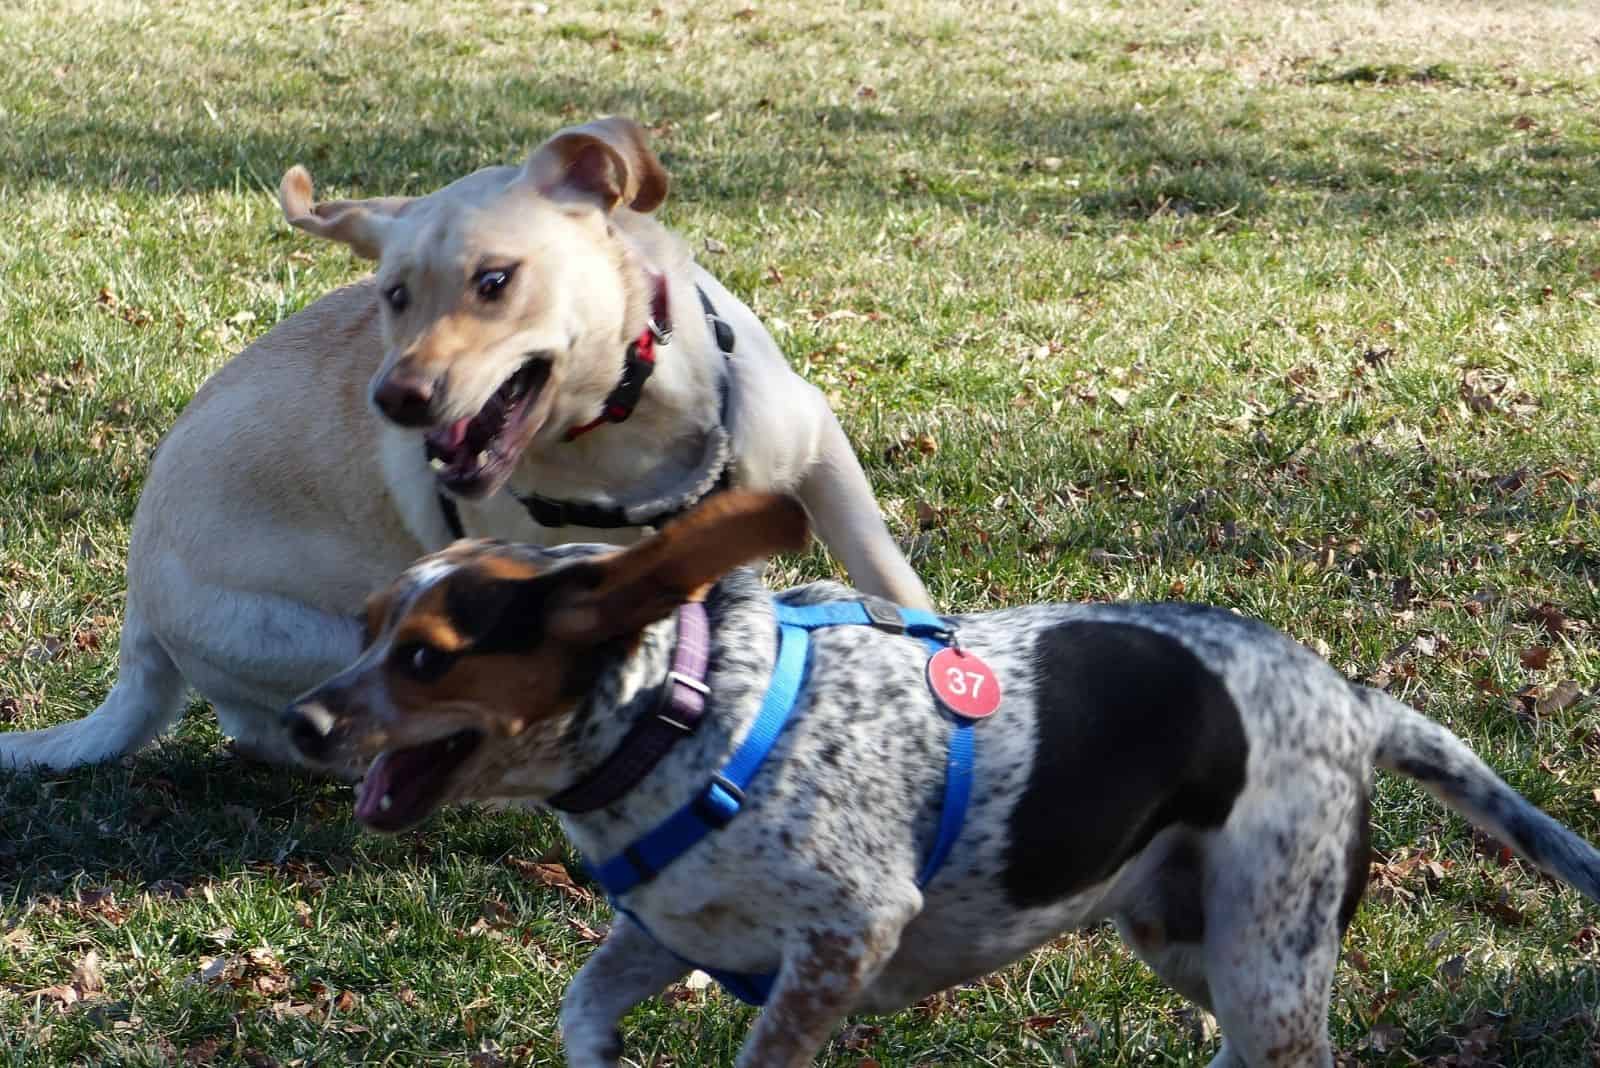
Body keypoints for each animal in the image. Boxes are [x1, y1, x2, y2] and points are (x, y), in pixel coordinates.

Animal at [288, 495, 1600, 1068]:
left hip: (1265, 960)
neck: (687, 713)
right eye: (366, 625)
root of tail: (1351, 700)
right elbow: (583, 1013)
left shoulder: (843, 938)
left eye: (426, 658)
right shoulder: (665, 934)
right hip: (1189, 941)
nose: (302, 722)